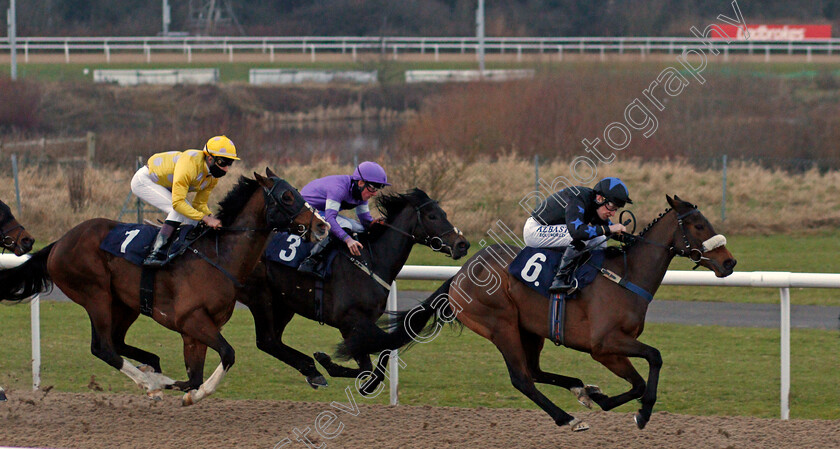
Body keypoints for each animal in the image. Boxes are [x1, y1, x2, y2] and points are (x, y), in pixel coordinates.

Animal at [0, 169, 328, 402]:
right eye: (287, 197)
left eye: (296, 192)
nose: (322, 226)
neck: (217, 256)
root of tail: (57, 244)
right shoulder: (192, 319)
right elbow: (227, 355)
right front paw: (187, 391)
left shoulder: (195, 331)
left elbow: (195, 375)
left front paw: (184, 388)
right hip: (95, 294)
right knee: (103, 347)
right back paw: (151, 381)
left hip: (124, 303)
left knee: (116, 342)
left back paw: (152, 372)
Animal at [236, 186, 470, 388]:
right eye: (432, 216)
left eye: (444, 213)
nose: (462, 244)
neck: (371, 261)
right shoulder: (348, 321)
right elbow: (371, 360)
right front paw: (329, 362)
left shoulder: (364, 322)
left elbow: (382, 350)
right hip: (261, 296)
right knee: (266, 340)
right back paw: (313, 369)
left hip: (283, 303)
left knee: (271, 341)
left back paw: (312, 371)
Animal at [342, 195, 736, 430]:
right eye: (698, 225)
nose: (729, 263)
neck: (627, 276)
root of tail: (461, 273)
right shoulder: (604, 346)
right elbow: (651, 364)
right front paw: (640, 412)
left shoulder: (612, 347)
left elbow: (643, 373)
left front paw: (600, 396)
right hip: (500, 325)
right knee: (522, 378)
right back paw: (567, 418)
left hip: (529, 329)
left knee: (534, 370)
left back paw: (580, 389)